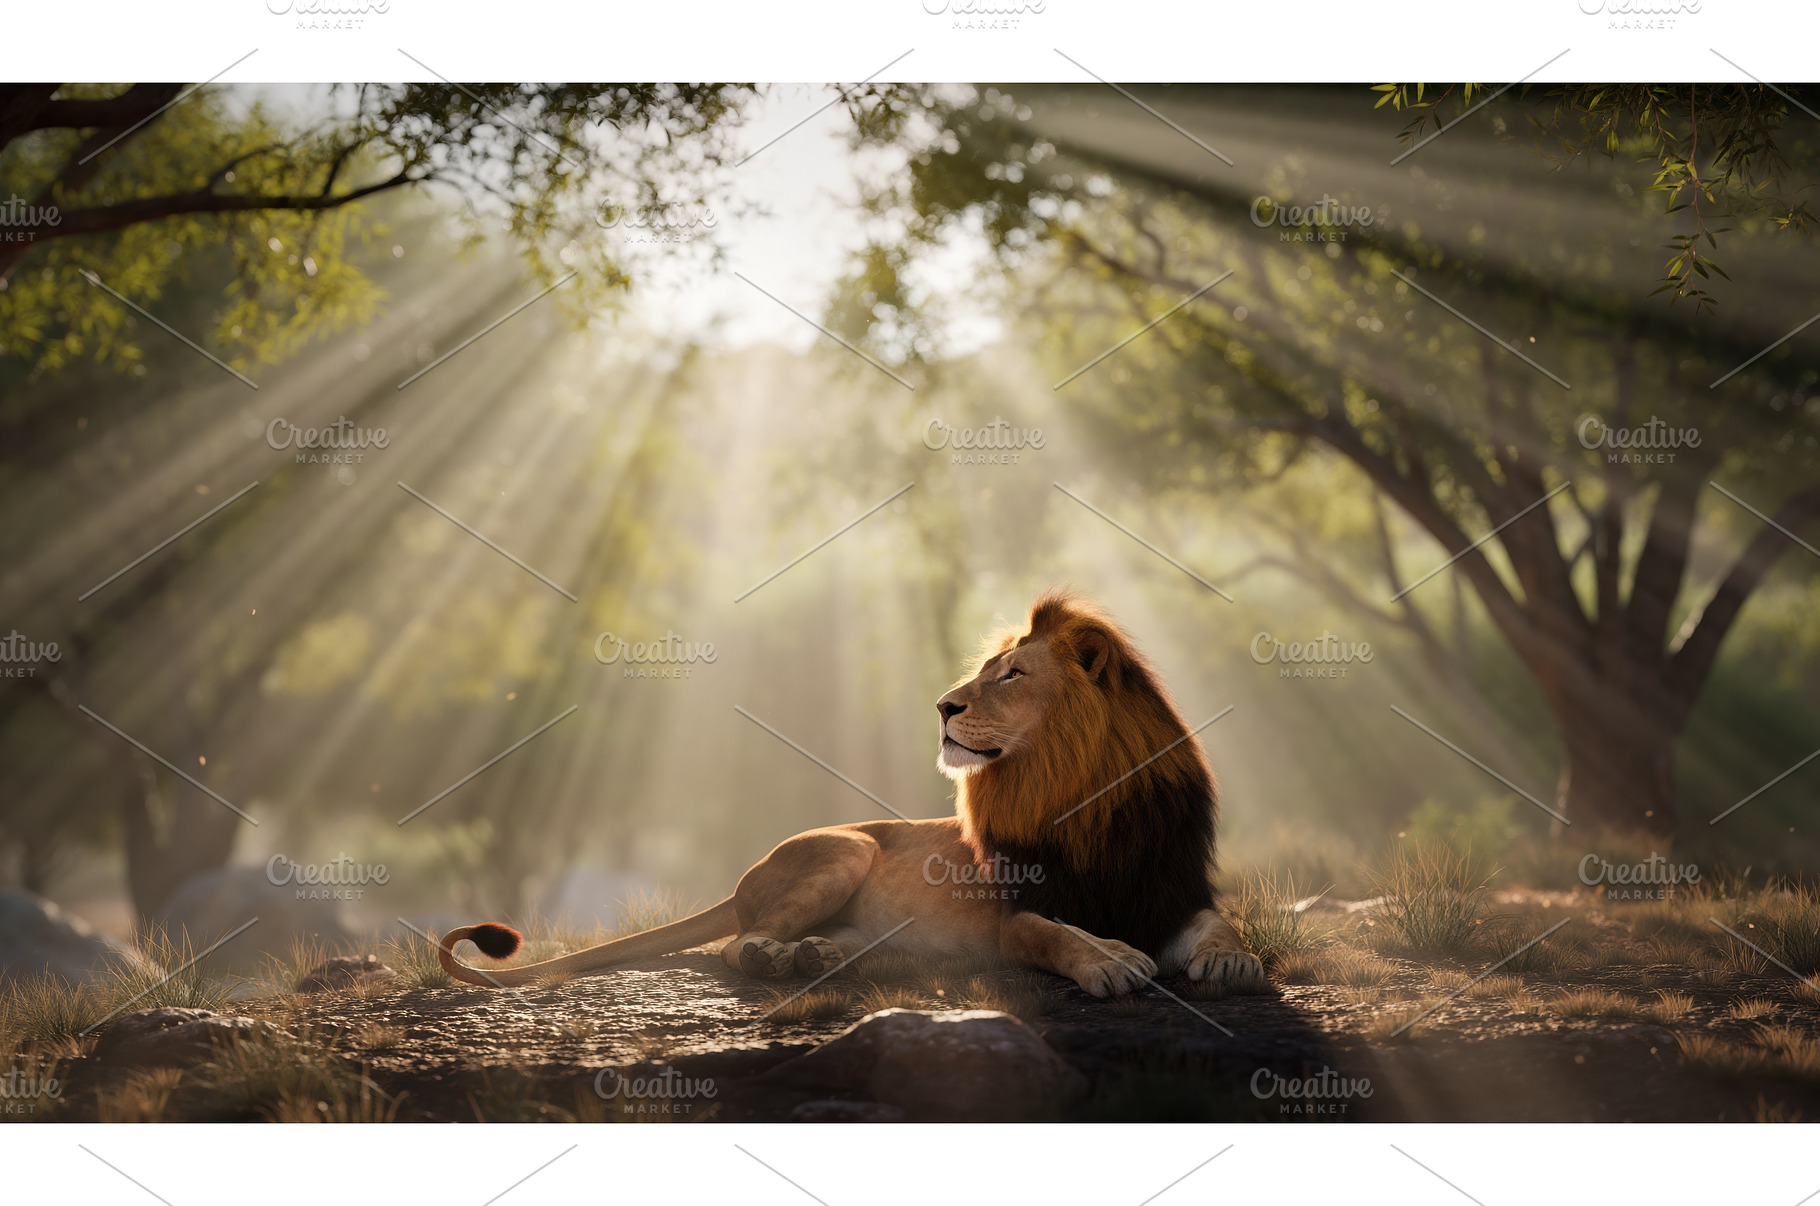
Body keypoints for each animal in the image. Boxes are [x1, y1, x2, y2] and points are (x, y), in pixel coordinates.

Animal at [437, 590, 1264, 998]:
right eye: (987, 669)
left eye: (1012, 674)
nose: (943, 705)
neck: (1086, 797)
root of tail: (745, 875)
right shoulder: (1016, 913)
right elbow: (1052, 934)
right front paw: (1112, 960)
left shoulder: (1172, 891)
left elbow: (1221, 926)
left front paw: (1231, 965)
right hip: (844, 850)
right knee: (737, 945)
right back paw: (784, 959)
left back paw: (823, 958)